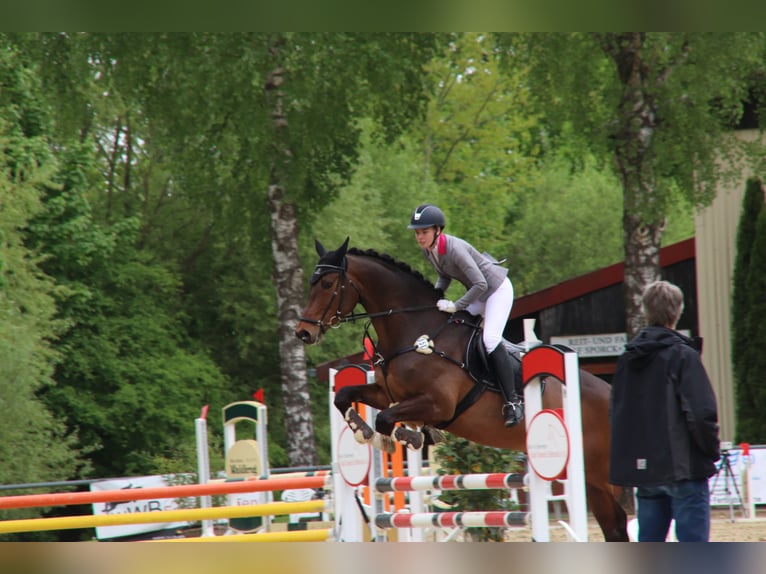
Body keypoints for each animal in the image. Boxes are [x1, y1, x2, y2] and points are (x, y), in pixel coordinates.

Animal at [296, 236, 632, 544]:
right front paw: (363, 430)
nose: (303, 332)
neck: (415, 332)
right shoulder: (387, 393)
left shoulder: (437, 404)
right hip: (594, 483)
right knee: (615, 528)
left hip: (598, 474)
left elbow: (386, 419)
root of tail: (608, 392)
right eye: (311, 283)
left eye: (327, 284)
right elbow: (345, 397)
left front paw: (404, 436)